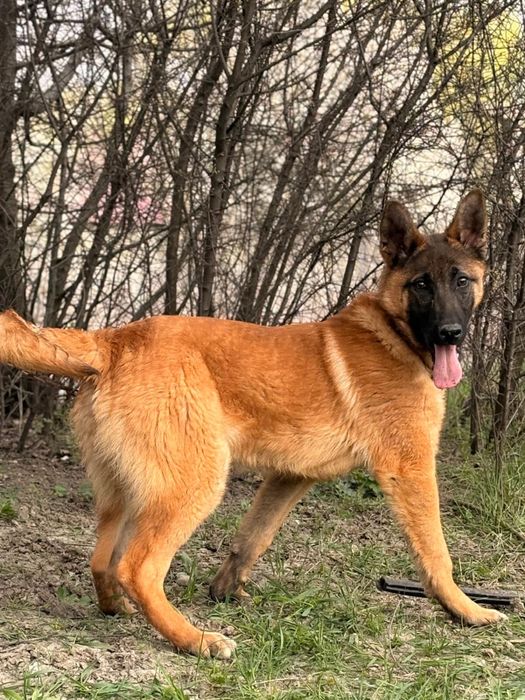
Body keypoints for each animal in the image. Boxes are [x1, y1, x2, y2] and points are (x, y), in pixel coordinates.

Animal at [0, 189, 505, 659]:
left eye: (461, 281)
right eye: (421, 285)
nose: (450, 334)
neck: (393, 333)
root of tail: (115, 339)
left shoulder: (288, 477)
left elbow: (252, 538)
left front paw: (225, 590)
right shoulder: (410, 468)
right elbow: (436, 552)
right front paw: (465, 609)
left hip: (127, 492)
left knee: (103, 560)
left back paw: (119, 608)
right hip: (196, 481)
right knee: (137, 568)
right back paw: (195, 640)